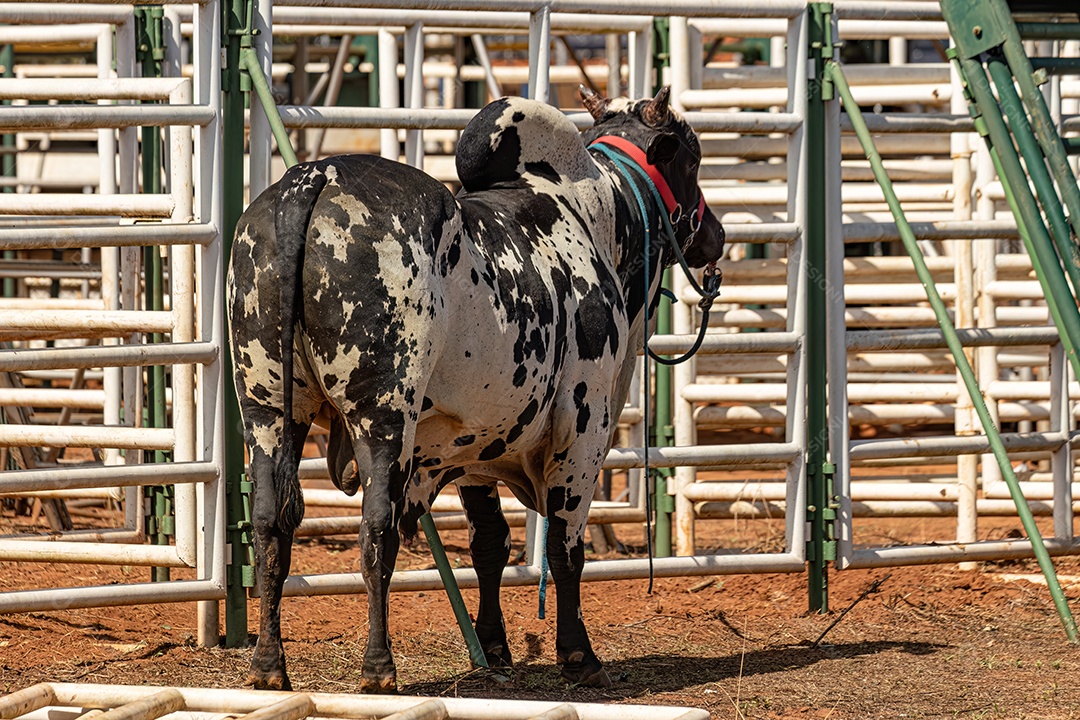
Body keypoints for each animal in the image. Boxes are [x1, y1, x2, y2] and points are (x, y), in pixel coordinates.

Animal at [230, 87, 725, 695]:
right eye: (692, 160)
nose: (716, 235)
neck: (595, 217)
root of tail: (312, 179)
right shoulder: (582, 428)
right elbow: (565, 546)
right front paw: (578, 653)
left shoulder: (471, 451)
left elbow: (490, 546)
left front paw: (492, 647)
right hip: (383, 418)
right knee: (376, 532)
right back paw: (378, 667)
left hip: (267, 410)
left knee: (271, 524)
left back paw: (269, 665)